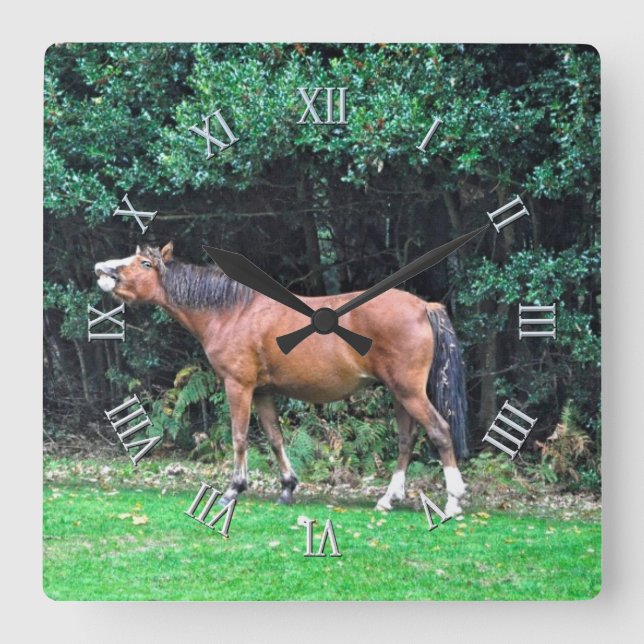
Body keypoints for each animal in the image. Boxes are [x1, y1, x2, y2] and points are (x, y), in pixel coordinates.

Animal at [94, 242, 469, 514]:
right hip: (399, 393)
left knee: (440, 431)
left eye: (145, 263)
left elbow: (239, 437)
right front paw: (287, 487)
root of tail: (424, 306)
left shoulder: (239, 386)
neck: (231, 311)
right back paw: (388, 499)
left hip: (409, 391)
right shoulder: (263, 392)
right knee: (407, 441)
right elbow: (275, 438)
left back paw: (452, 502)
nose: (101, 269)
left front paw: (233, 489)